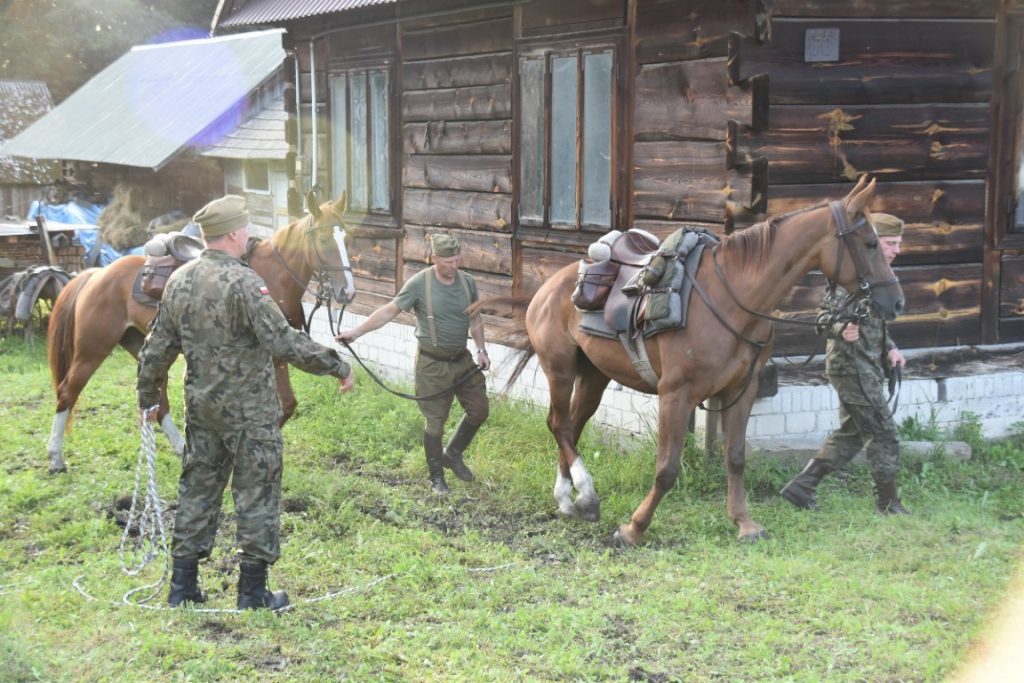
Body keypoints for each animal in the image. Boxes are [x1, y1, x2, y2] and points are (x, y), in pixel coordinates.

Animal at [45, 189, 356, 473]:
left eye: (346, 238)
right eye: (324, 238)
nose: (348, 292)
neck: (273, 275)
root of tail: (95, 275)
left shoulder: (277, 358)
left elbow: (288, 405)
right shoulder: (272, 353)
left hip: (147, 347)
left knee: (156, 399)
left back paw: (182, 448)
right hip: (92, 349)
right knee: (67, 392)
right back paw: (55, 458)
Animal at [471, 179, 905, 548]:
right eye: (870, 243)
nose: (897, 302)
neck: (733, 297)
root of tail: (547, 287)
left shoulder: (742, 390)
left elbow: (736, 457)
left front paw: (744, 523)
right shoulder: (675, 394)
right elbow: (667, 468)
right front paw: (633, 528)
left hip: (594, 375)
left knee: (572, 427)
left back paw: (569, 499)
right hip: (558, 368)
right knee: (559, 424)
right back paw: (585, 496)